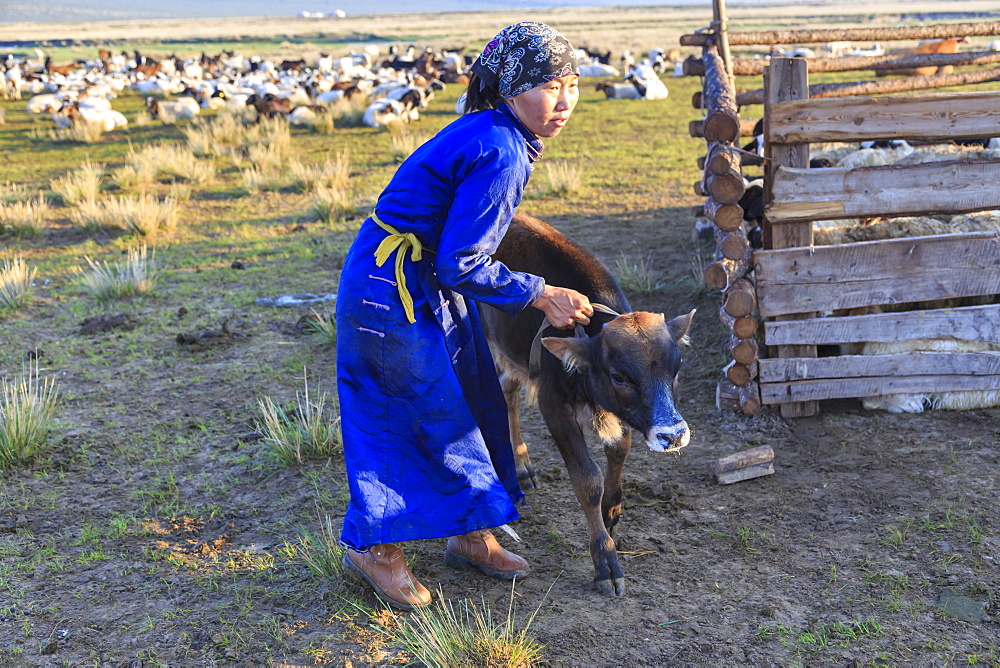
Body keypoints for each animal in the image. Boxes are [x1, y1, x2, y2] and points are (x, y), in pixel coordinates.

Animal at [484, 217, 696, 596]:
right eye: (619, 376)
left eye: (677, 367)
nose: (673, 436)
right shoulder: (554, 407)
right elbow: (587, 480)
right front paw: (605, 563)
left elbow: (619, 450)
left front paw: (612, 508)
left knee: (507, 387)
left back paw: (522, 466)